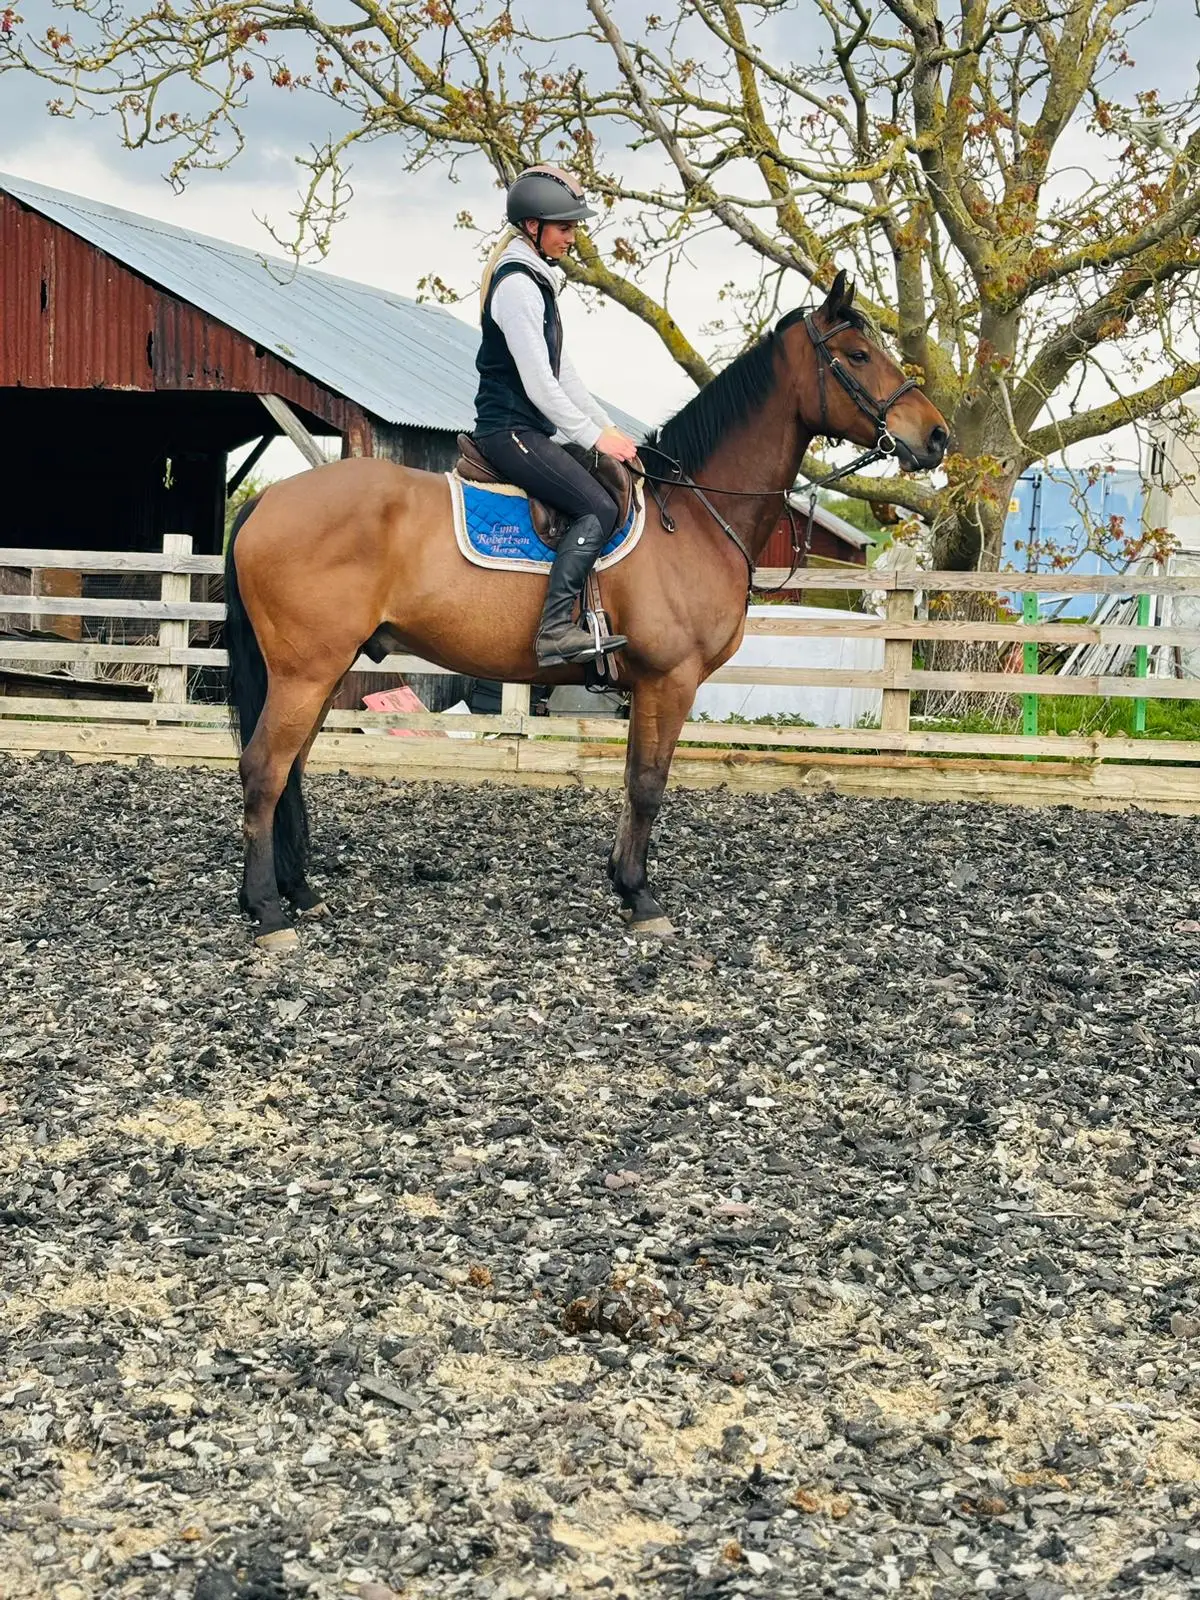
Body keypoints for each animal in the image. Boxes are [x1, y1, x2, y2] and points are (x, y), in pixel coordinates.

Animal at [224, 270, 949, 949]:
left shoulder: (649, 686)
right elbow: (648, 784)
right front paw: (641, 898)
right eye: (857, 354)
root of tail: (268, 501)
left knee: (290, 771)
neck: (691, 516)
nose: (936, 436)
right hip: (306, 672)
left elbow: (633, 779)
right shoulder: (669, 681)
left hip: (325, 671)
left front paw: (623, 885)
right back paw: (267, 912)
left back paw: (299, 892)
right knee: (264, 771)